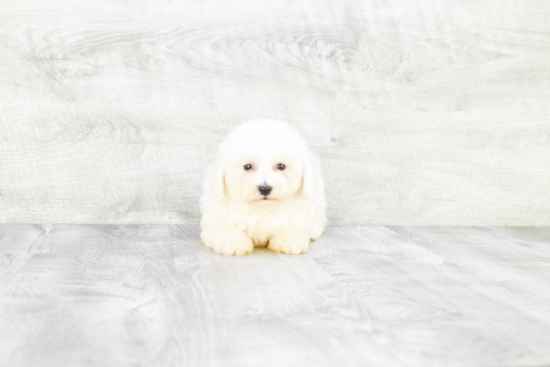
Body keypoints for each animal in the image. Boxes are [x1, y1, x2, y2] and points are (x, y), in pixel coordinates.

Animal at [201, 120, 328, 256]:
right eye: (247, 166)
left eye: (281, 166)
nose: (265, 188)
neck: (262, 209)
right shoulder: (215, 219)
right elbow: (224, 229)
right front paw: (234, 243)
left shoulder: (298, 215)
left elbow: (293, 227)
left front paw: (288, 241)